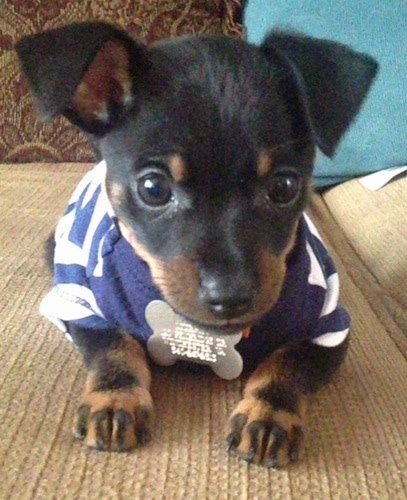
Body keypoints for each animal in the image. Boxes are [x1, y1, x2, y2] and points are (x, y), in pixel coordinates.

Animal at [16, 22, 380, 468]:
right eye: (153, 188)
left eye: (285, 186)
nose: (231, 297)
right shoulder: (77, 305)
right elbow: (113, 345)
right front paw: (116, 399)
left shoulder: (329, 329)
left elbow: (287, 363)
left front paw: (269, 415)